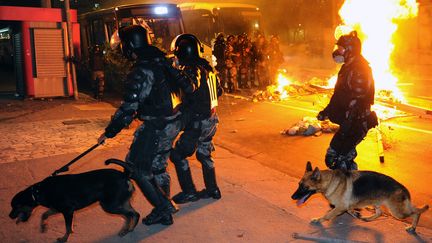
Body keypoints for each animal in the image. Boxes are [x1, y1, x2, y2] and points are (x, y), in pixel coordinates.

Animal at [9, 161, 139, 241]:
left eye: (16, 206)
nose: (10, 216)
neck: (37, 191)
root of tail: (125, 175)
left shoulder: (68, 211)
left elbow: (68, 228)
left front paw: (64, 239)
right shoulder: (57, 209)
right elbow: (44, 214)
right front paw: (43, 227)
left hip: (110, 205)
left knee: (132, 214)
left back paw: (129, 229)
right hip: (118, 203)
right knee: (131, 214)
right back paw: (126, 229)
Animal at [290, 161, 428, 234]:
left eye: (304, 187)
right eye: (298, 185)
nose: (292, 197)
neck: (330, 181)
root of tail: (403, 188)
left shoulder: (339, 207)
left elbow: (328, 215)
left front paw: (318, 220)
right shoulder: (343, 206)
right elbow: (349, 209)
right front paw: (355, 213)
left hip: (397, 212)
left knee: (416, 212)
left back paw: (412, 227)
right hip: (377, 202)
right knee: (380, 212)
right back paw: (367, 218)